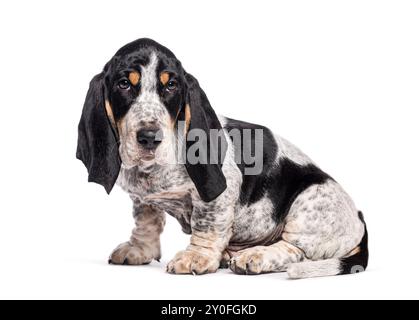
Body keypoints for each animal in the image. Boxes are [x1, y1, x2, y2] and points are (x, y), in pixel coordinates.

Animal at [77, 37, 370, 278]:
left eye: (171, 86)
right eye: (124, 84)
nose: (149, 137)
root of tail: (359, 219)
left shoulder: (217, 193)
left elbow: (207, 225)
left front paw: (196, 257)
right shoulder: (143, 199)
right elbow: (146, 220)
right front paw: (140, 249)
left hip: (310, 200)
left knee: (295, 251)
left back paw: (254, 256)